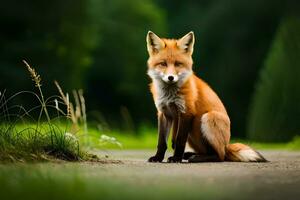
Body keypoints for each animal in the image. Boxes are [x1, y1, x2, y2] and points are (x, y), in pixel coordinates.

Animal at [146, 30, 266, 162]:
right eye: (163, 64)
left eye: (178, 64)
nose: (170, 77)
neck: (169, 95)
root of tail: (226, 145)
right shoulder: (164, 113)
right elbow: (162, 142)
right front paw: (158, 157)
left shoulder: (186, 112)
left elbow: (179, 141)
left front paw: (176, 158)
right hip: (193, 135)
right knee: (207, 151)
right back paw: (190, 155)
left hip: (207, 118)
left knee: (220, 156)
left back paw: (195, 158)